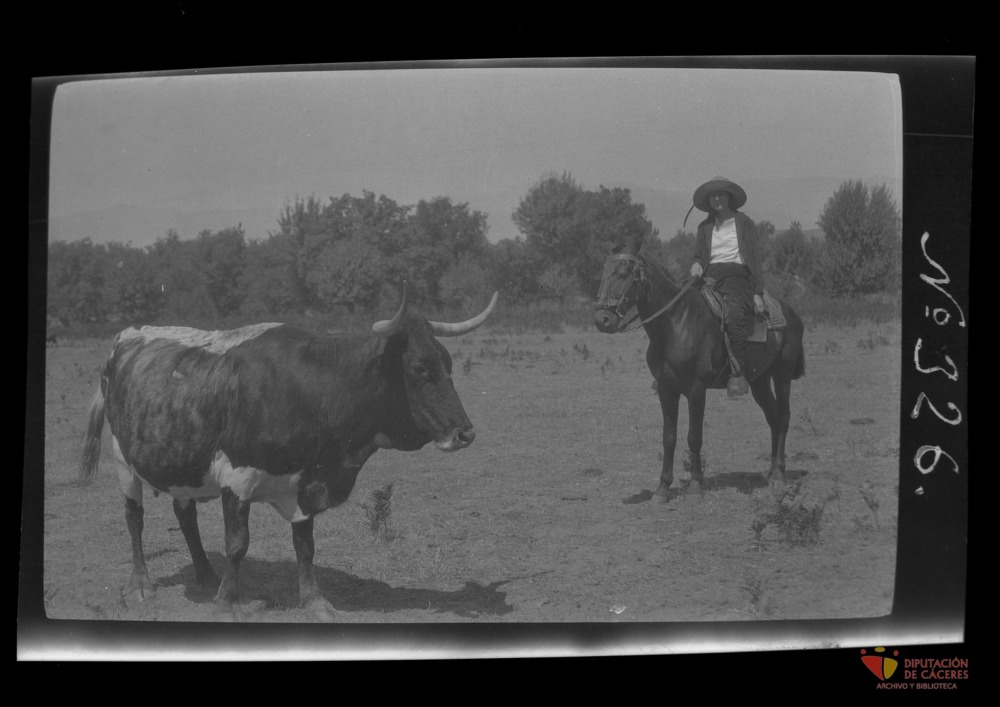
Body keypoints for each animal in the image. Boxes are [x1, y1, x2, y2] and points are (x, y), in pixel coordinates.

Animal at [593, 234, 805, 500]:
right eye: (603, 272)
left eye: (623, 272)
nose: (602, 320)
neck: (675, 323)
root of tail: (792, 313)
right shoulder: (666, 390)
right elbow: (669, 437)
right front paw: (662, 488)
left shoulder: (696, 390)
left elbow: (694, 437)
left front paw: (695, 486)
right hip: (759, 381)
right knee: (773, 418)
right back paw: (770, 472)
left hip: (782, 375)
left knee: (784, 417)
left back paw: (779, 475)